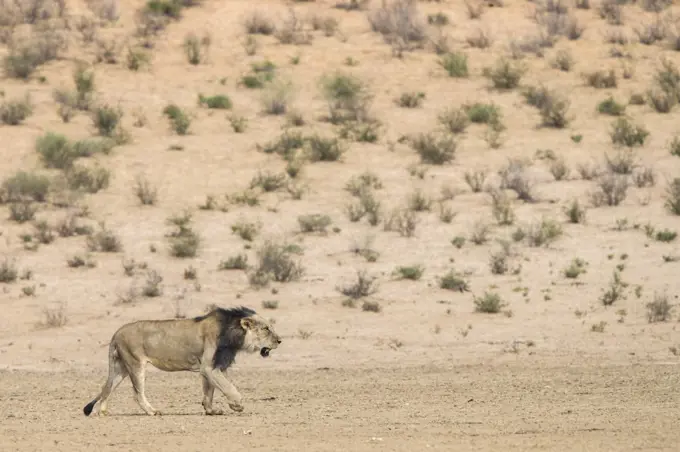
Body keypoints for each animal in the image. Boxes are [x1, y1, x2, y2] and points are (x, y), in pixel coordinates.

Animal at [81, 308, 282, 416]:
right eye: (266, 329)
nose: (280, 340)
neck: (233, 334)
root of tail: (116, 333)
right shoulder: (209, 367)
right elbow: (228, 387)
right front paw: (237, 405)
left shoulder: (213, 367)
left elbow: (210, 390)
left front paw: (211, 410)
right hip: (135, 364)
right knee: (137, 394)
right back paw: (152, 411)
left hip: (121, 367)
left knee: (107, 388)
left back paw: (103, 412)